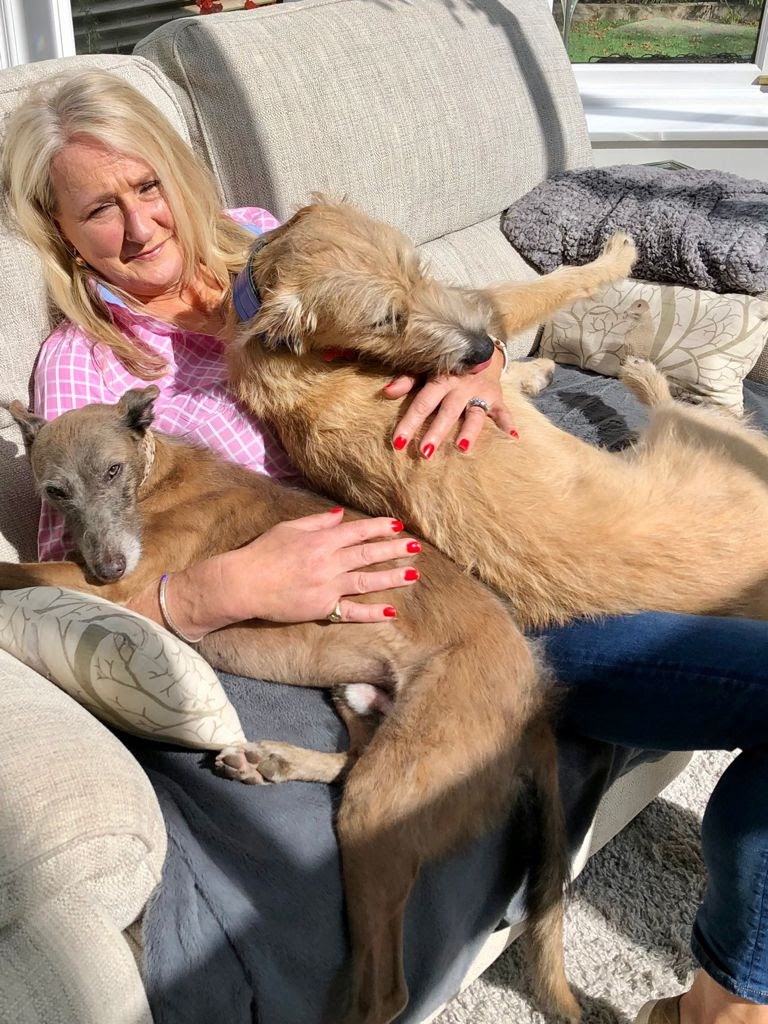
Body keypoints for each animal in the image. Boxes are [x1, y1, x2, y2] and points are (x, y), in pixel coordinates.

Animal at [227, 197, 768, 628]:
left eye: (419, 270)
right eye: (384, 320)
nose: (483, 349)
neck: (292, 348)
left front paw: (531, 371)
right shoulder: (490, 309)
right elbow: (554, 285)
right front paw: (617, 256)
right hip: (695, 434)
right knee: (676, 407)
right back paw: (641, 373)